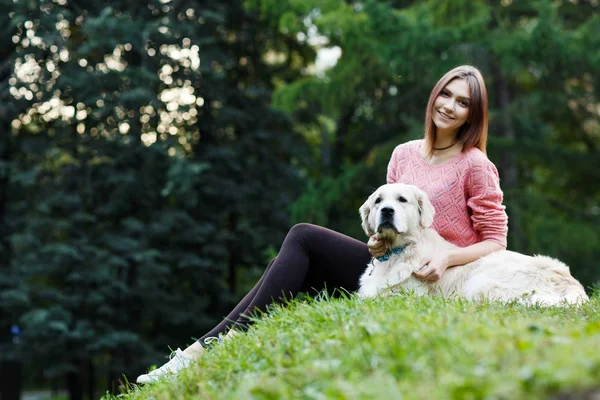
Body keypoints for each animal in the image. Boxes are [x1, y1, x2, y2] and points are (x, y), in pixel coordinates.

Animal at [358, 183, 588, 304]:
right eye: (378, 201)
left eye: (402, 200)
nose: (387, 211)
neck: (397, 251)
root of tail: (571, 283)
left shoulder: (405, 295)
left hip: (480, 284)